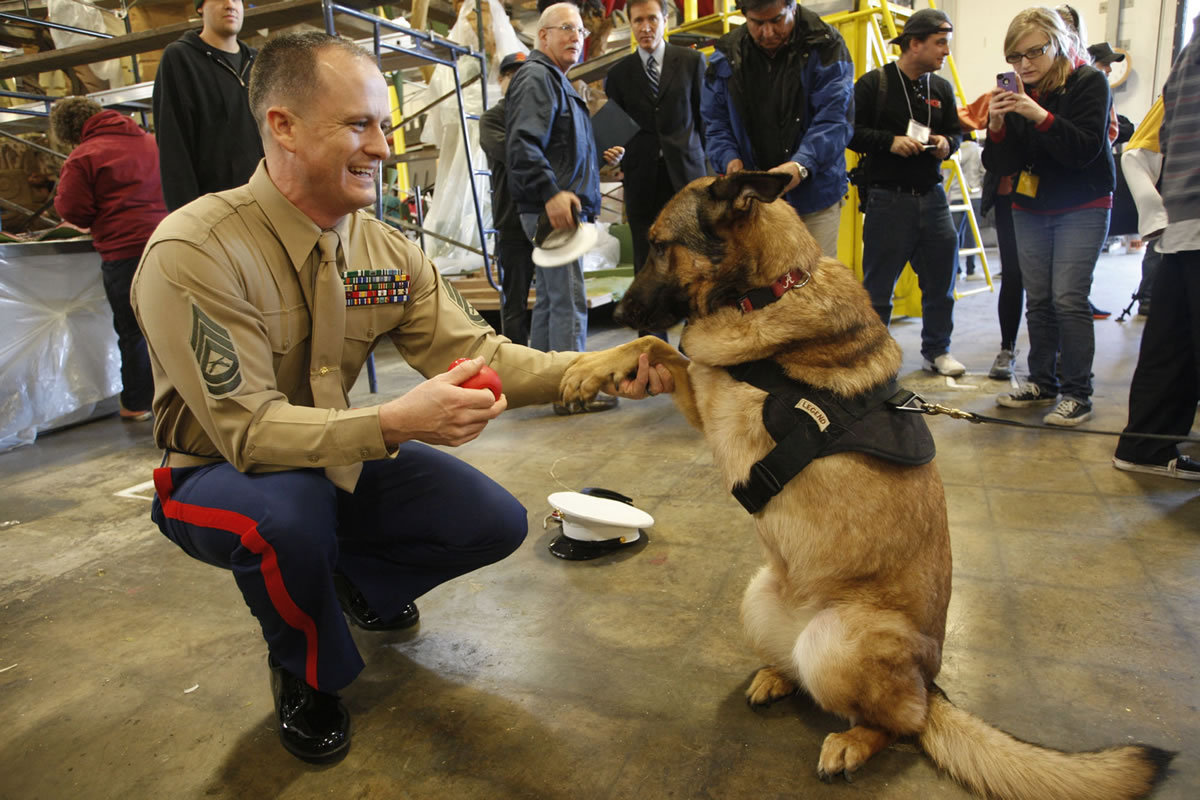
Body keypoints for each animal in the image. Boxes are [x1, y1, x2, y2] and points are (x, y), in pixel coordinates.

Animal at [559, 173, 1171, 800]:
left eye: (659, 245)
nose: (621, 310)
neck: (773, 289)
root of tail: (931, 685)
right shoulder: (707, 394)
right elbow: (659, 349)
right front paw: (592, 367)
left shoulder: (726, 406)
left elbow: (668, 348)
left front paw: (587, 368)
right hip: (758, 599)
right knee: (812, 680)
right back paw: (778, 677)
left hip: (838, 644)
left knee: (901, 723)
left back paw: (853, 742)